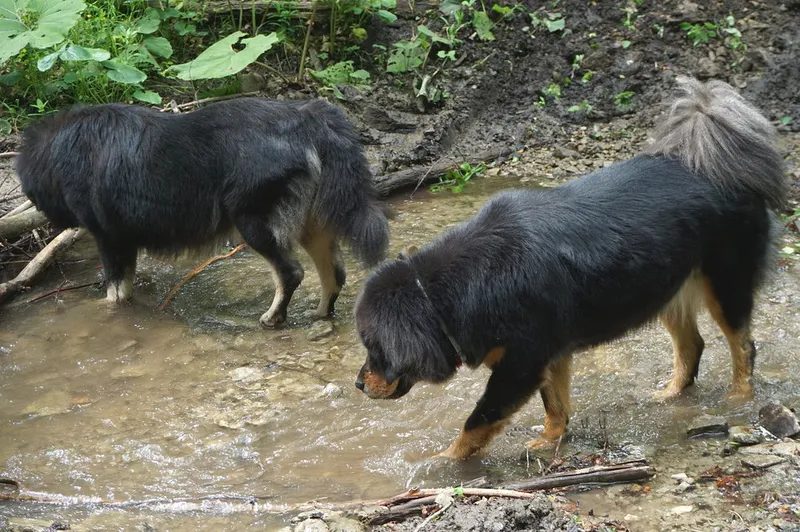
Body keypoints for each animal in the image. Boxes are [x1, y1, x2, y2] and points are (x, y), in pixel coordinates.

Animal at [16, 98, 390, 326]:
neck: (63, 146)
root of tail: (307, 116)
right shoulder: (125, 238)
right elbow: (125, 288)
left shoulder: (108, 237)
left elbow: (113, 291)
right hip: (312, 223)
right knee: (334, 272)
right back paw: (321, 314)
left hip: (253, 221)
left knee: (291, 272)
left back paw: (272, 318)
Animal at [353, 77, 787, 460]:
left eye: (375, 348)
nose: (358, 383)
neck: (456, 292)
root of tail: (711, 164)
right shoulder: (549, 354)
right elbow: (555, 406)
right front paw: (550, 442)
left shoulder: (521, 364)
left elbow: (478, 420)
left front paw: (442, 462)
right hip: (667, 284)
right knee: (692, 346)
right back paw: (668, 395)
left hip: (725, 284)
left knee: (743, 346)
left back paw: (739, 397)